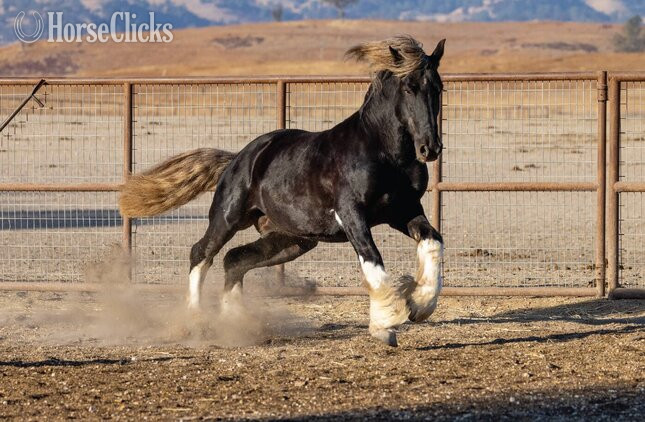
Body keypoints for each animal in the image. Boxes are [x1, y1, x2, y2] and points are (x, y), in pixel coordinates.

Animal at [119, 35, 445, 347]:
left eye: (438, 88)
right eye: (409, 88)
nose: (430, 148)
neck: (384, 153)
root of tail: (238, 158)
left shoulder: (404, 211)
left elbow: (433, 240)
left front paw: (419, 305)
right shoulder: (352, 214)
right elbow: (372, 260)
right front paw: (385, 326)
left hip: (293, 239)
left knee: (235, 259)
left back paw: (237, 322)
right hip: (228, 217)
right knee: (202, 252)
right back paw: (196, 321)